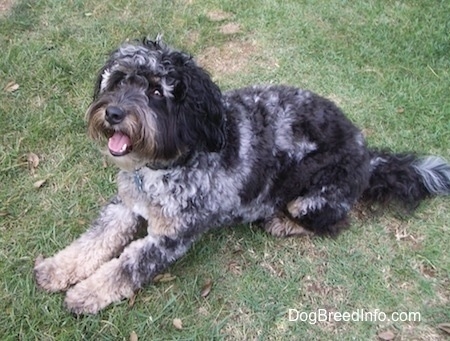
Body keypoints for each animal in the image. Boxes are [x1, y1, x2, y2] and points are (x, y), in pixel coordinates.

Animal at [34, 37, 450, 314]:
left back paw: (281, 222)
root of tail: (367, 154)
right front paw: (57, 269)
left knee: (331, 222)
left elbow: (126, 266)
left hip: (313, 196)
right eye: (119, 80)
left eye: (156, 91)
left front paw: (85, 294)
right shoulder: (125, 206)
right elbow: (93, 240)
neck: (165, 163)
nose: (114, 113)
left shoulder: (170, 237)